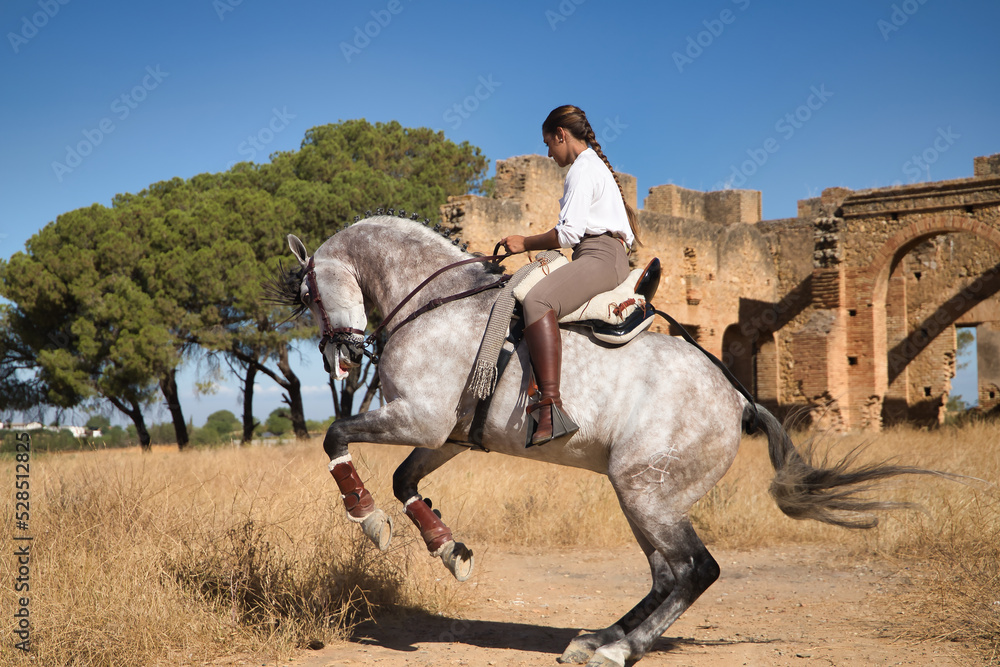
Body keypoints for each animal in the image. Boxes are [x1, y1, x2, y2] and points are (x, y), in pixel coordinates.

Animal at [270, 214, 935, 667]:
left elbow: (337, 437)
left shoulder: (418, 418)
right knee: (666, 574)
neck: (436, 303)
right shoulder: (446, 433)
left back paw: (621, 649)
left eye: (307, 295)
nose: (339, 359)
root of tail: (740, 399)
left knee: (696, 569)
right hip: (640, 494)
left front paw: (367, 518)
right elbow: (406, 479)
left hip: (647, 493)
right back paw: (597, 638)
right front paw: (448, 549)